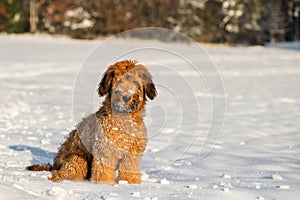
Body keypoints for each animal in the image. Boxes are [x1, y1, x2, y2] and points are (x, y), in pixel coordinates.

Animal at [27, 60, 157, 184]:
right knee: (59, 174)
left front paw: (129, 184)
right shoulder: (104, 152)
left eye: (135, 82)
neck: (123, 120)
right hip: (78, 160)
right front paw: (105, 186)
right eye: (119, 81)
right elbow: (103, 174)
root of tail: (55, 165)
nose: (126, 97)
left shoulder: (131, 156)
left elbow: (129, 173)